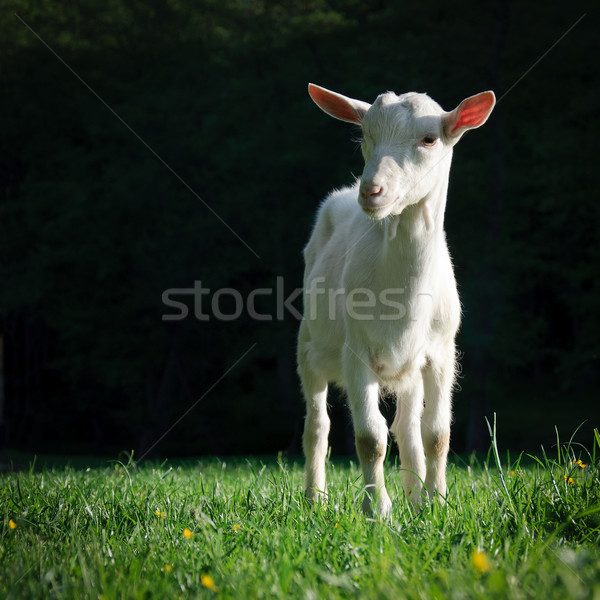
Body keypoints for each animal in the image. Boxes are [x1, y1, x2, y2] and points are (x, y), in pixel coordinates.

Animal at [298, 83, 494, 516]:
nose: (371, 190)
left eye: (429, 138)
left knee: (407, 426)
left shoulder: (440, 352)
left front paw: (437, 503)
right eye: (364, 135)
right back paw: (315, 499)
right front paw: (378, 510)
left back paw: (416, 498)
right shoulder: (356, 351)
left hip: (410, 369)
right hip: (309, 346)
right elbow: (370, 438)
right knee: (317, 426)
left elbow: (436, 434)